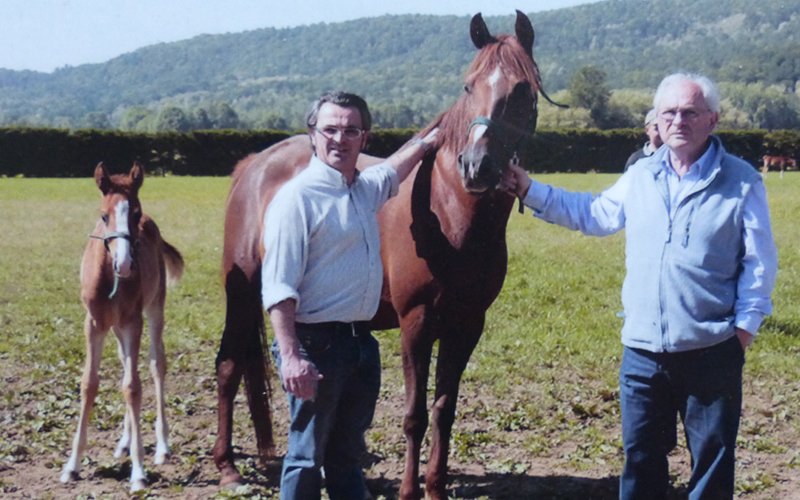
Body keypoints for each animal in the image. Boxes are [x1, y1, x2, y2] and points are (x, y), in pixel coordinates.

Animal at [60, 162, 184, 492]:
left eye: (135, 213)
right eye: (104, 215)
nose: (126, 265)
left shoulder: (132, 321)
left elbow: (132, 387)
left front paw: (139, 472)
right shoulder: (93, 323)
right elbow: (89, 383)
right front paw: (72, 465)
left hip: (153, 310)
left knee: (156, 365)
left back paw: (162, 446)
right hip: (115, 328)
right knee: (126, 366)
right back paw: (125, 443)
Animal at [213, 10, 554, 499]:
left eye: (524, 90)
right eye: (469, 85)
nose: (477, 167)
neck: (449, 214)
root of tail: (254, 164)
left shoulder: (467, 325)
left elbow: (444, 410)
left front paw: (435, 487)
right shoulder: (416, 323)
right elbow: (414, 416)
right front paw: (411, 490)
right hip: (241, 295)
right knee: (227, 367)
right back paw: (226, 467)